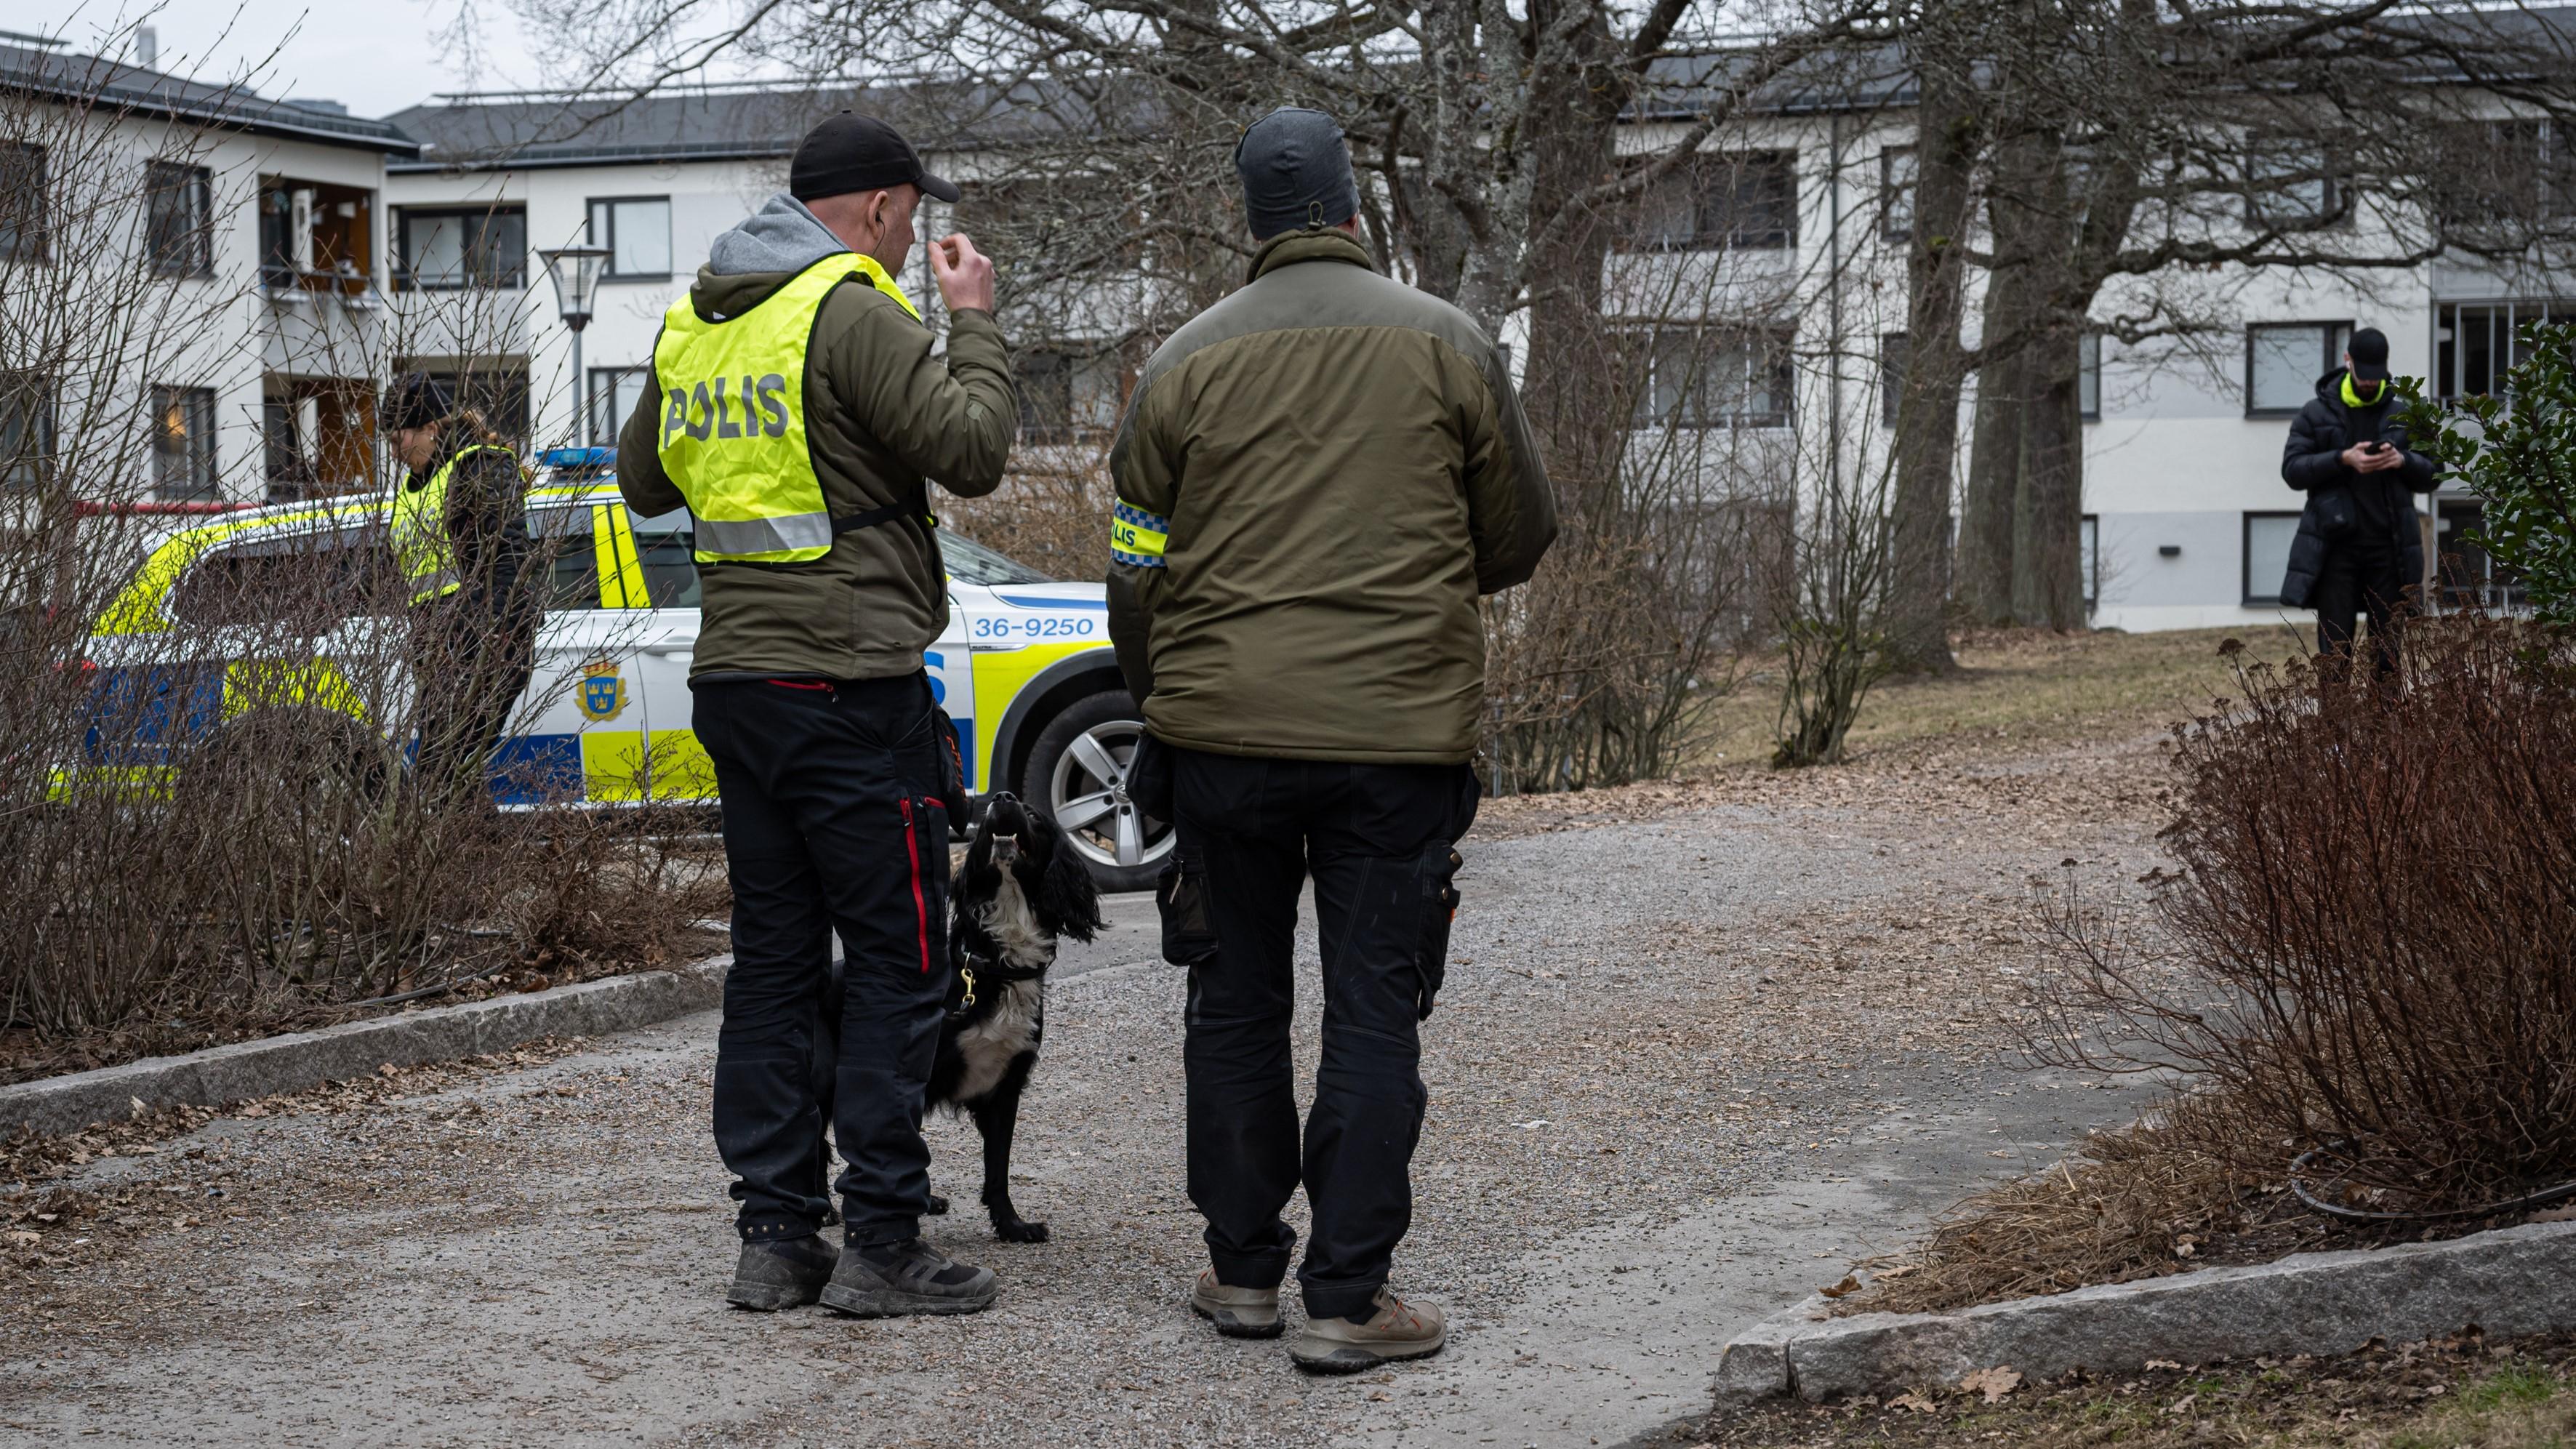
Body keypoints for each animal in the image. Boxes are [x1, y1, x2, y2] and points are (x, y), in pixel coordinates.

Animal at [927, 792, 1097, 1245]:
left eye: (1034, 814)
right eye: (988, 814)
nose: (1001, 798)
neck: (996, 967)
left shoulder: (1006, 1086)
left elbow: (998, 1168)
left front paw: (1012, 1225)